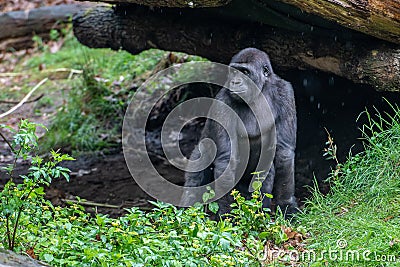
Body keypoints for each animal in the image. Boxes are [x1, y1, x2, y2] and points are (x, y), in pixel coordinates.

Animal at [180, 47, 296, 217]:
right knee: (197, 171)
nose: (235, 82)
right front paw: (228, 215)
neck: (260, 90)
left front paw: (287, 205)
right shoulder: (223, 102)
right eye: (234, 72)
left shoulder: (285, 92)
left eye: (245, 72)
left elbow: (284, 152)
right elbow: (226, 160)